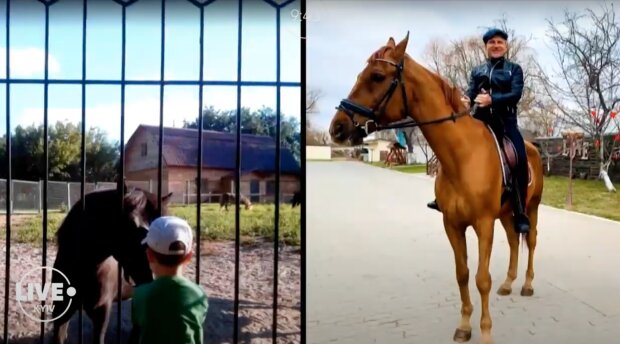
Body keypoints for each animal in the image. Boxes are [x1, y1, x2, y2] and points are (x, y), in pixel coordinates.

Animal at [330, 33, 544, 344]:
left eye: (377, 76)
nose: (337, 127)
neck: (462, 156)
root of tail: (532, 147)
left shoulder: (483, 224)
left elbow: (482, 279)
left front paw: (486, 332)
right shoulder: (452, 225)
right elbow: (462, 274)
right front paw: (465, 326)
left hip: (532, 207)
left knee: (531, 240)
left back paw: (527, 285)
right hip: (506, 213)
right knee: (515, 241)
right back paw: (508, 283)